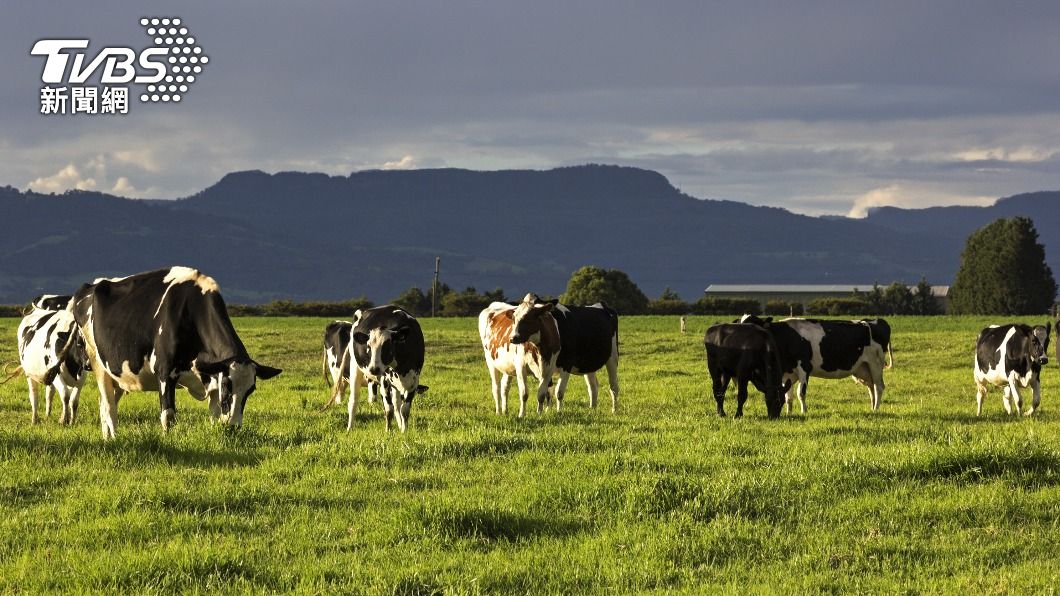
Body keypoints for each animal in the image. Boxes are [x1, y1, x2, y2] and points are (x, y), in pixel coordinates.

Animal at [10, 292, 88, 422]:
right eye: (79, 343)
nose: (89, 365)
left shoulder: (81, 378)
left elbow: (74, 401)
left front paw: (72, 421)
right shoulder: (56, 374)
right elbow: (66, 396)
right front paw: (64, 420)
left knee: (49, 393)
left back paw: (48, 415)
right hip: (29, 373)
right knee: (34, 395)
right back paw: (35, 419)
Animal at [56, 264, 281, 436]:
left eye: (250, 391)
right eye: (228, 386)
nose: (234, 427)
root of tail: (91, 285)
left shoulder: (212, 378)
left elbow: (215, 415)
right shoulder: (165, 371)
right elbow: (168, 415)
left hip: (116, 373)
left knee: (104, 405)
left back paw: (107, 438)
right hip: (98, 363)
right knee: (109, 407)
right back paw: (114, 438)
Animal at [737, 313, 894, 411]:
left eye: (753, 326)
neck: (787, 337)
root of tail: (876, 320)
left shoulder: (804, 367)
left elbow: (801, 393)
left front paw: (804, 412)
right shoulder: (787, 372)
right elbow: (788, 396)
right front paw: (789, 413)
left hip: (875, 364)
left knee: (878, 387)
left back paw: (876, 409)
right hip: (863, 367)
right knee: (871, 387)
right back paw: (872, 408)